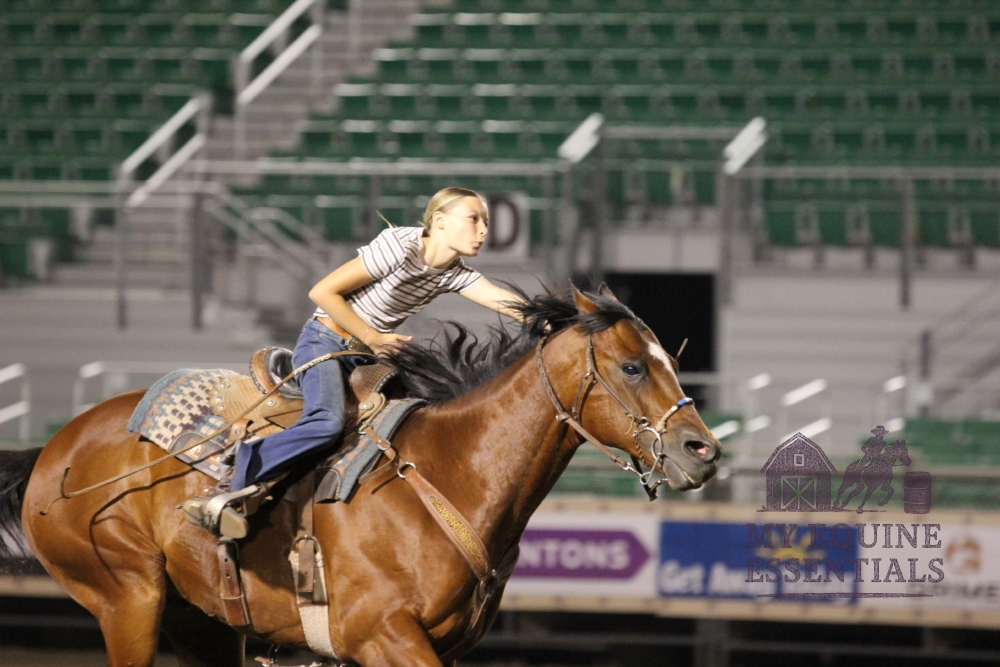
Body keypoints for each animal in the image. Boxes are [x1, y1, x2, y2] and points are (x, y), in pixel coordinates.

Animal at [0, 287, 720, 667]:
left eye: (668, 357)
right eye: (632, 366)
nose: (703, 450)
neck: (449, 472)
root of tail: (55, 448)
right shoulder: (384, 637)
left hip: (199, 622)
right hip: (128, 598)